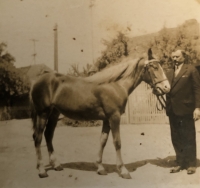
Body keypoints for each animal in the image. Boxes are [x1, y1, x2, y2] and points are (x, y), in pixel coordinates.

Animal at [30, 48, 170, 179]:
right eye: (154, 67)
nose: (166, 87)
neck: (115, 85)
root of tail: (37, 81)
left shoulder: (106, 119)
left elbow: (103, 141)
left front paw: (100, 168)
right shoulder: (114, 117)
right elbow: (117, 142)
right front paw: (123, 170)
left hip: (54, 114)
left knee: (48, 135)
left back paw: (56, 165)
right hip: (42, 113)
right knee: (38, 137)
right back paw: (41, 170)